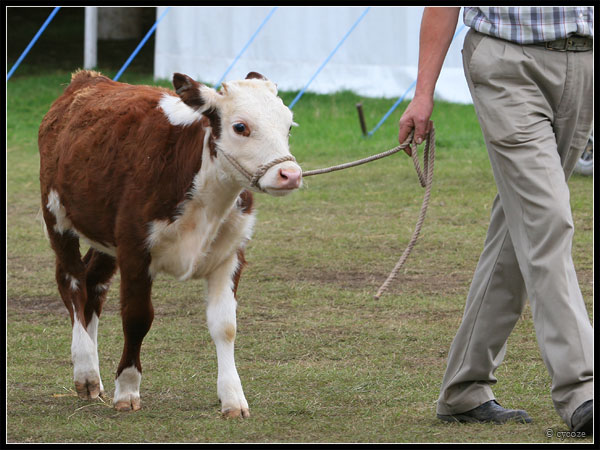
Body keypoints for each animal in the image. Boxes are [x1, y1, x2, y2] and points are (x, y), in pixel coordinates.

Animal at [38, 70, 302, 418]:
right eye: (240, 126)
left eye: (288, 125)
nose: (290, 174)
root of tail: (87, 79)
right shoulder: (135, 252)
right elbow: (137, 318)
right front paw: (127, 390)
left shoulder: (230, 257)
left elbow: (225, 325)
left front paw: (233, 398)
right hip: (57, 217)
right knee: (72, 283)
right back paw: (86, 372)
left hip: (106, 235)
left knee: (93, 285)